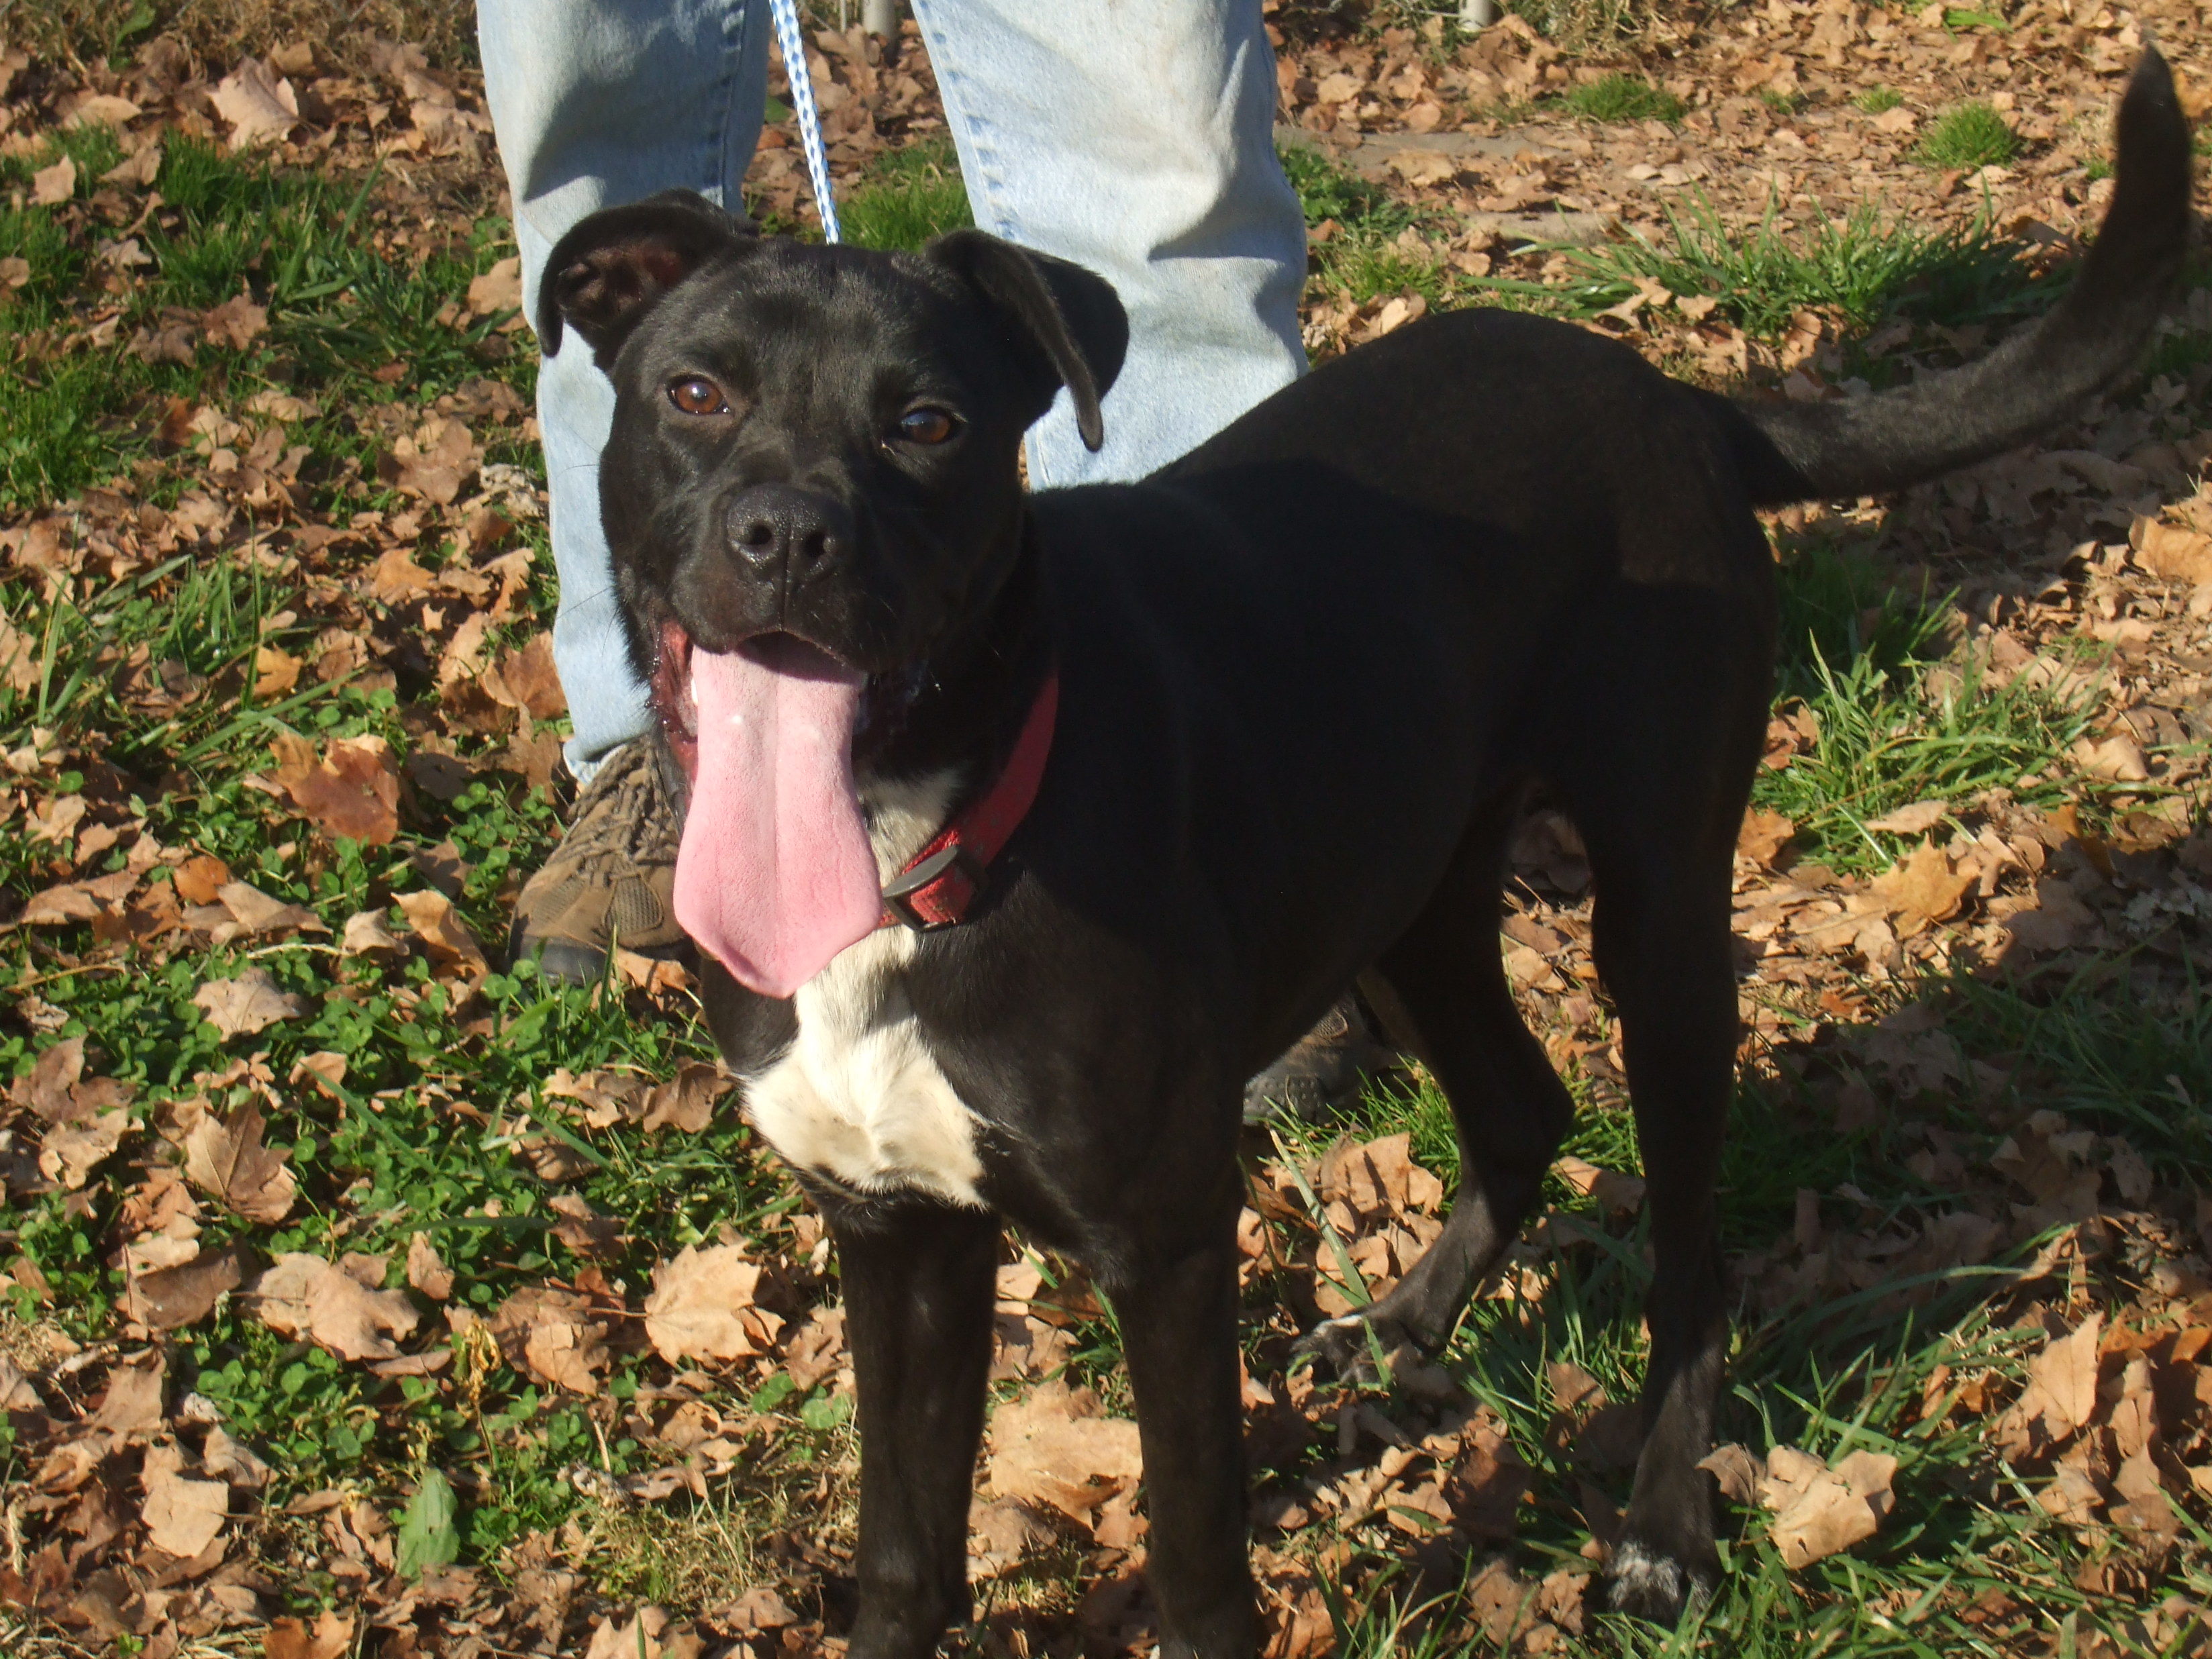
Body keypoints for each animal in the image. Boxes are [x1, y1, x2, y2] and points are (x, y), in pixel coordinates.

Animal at [540, 55, 2194, 1659]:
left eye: (927, 424)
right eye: (694, 391)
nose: (786, 536)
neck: (920, 844)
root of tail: (1672, 395)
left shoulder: (1166, 1243)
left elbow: (1196, 1560)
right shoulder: (894, 1230)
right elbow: (900, 1554)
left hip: (1658, 923)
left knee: (1691, 1258)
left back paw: (1663, 1525)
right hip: (1407, 908)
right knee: (1523, 1108)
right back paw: (1405, 1325)